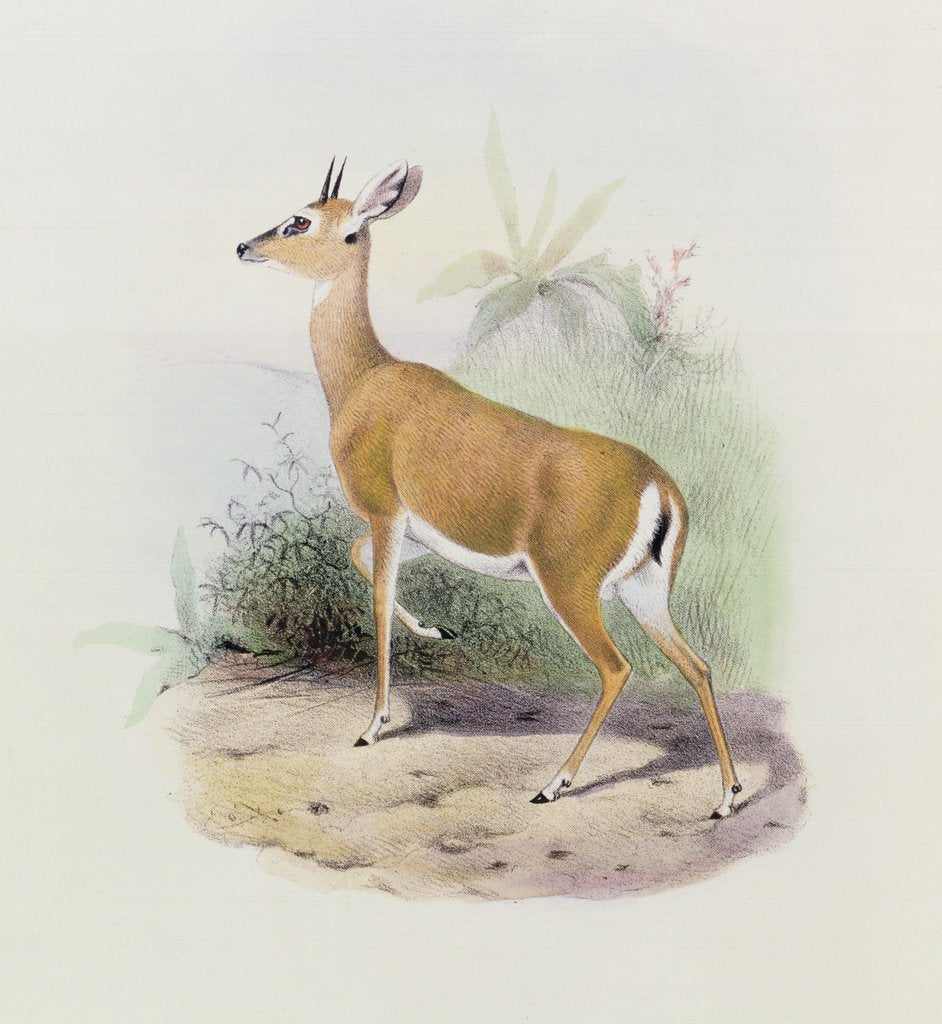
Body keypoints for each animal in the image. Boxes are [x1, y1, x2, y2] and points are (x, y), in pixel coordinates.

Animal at [236, 158, 742, 818]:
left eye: (301, 220)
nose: (245, 246)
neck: (362, 380)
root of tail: (661, 489)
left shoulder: (385, 512)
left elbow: (376, 600)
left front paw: (373, 724)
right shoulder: (415, 530)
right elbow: (358, 557)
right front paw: (436, 629)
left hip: (571, 586)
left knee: (617, 668)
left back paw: (553, 784)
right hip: (644, 589)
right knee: (699, 665)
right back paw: (728, 795)